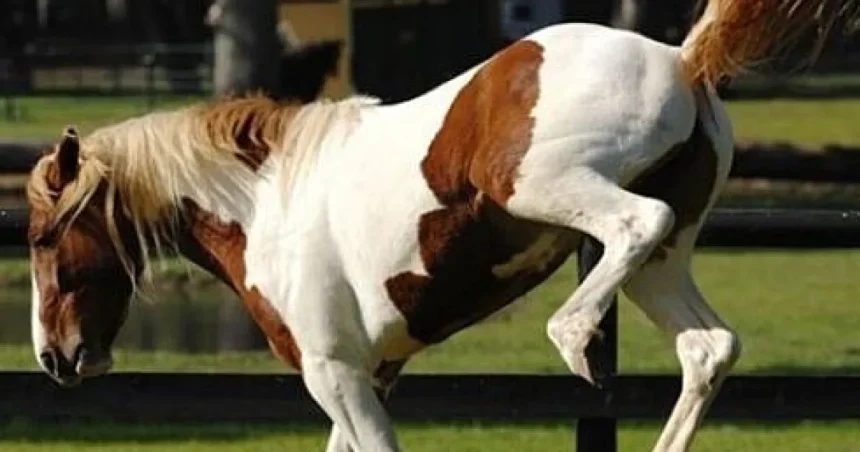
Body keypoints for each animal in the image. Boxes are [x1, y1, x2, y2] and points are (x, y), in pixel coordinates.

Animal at [26, 0, 858, 450]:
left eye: (39, 239)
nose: (54, 359)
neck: (266, 202)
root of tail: (681, 59)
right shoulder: (370, 373)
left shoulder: (335, 372)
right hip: (668, 259)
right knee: (708, 345)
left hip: (545, 188)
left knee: (636, 226)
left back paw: (574, 339)